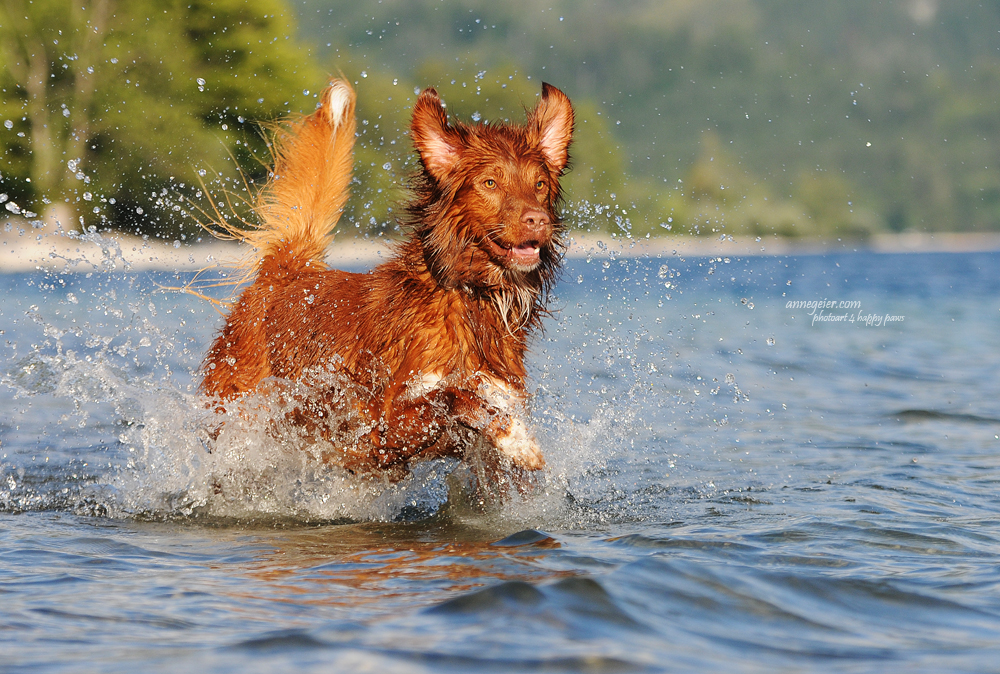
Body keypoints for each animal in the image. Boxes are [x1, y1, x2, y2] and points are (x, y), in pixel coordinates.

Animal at [200, 79, 576, 490]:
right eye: (490, 183)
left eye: (539, 184)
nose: (538, 220)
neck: (472, 301)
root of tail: (287, 268)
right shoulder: (378, 434)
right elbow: (454, 397)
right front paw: (518, 440)